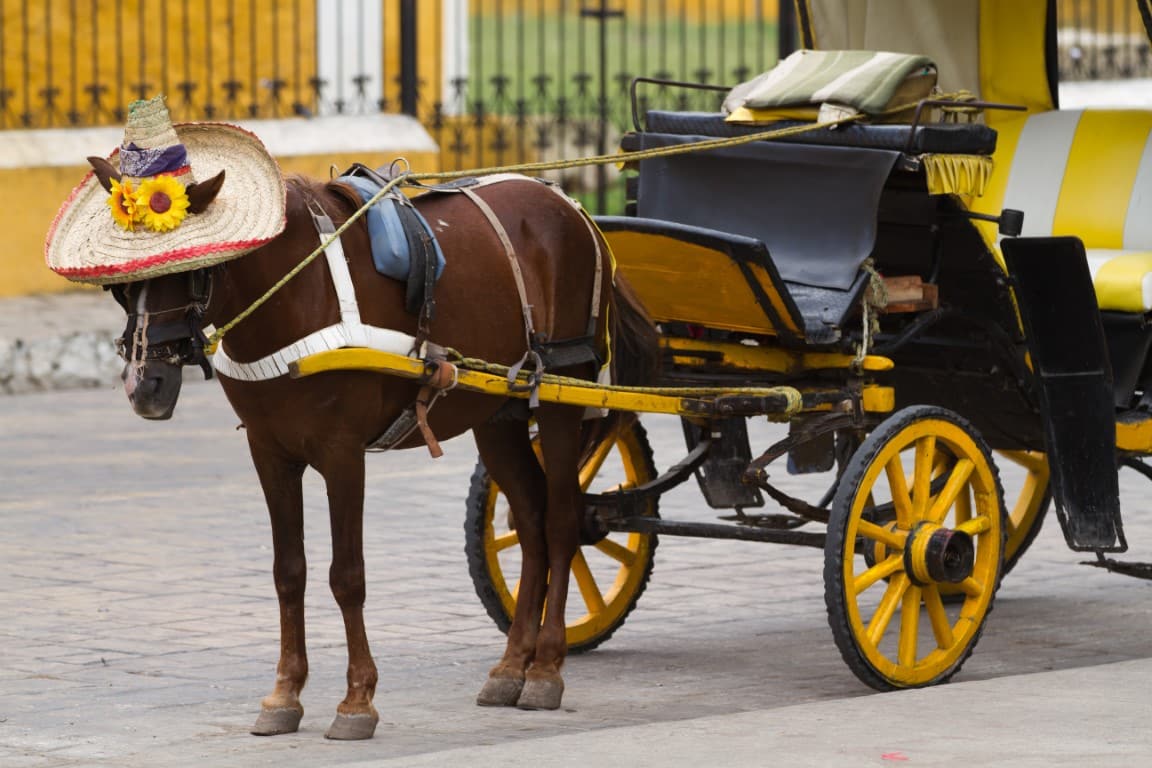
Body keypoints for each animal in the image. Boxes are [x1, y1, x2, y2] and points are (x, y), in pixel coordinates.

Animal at [105, 169, 658, 736]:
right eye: (120, 285)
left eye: (194, 270)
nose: (143, 385)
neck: (296, 292)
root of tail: (568, 203)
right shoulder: (269, 453)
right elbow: (288, 572)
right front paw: (285, 695)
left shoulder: (343, 453)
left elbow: (347, 576)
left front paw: (357, 701)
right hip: (497, 415)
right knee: (529, 522)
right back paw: (511, 667)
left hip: (562, 395)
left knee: (561, 522)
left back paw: (545, 669)